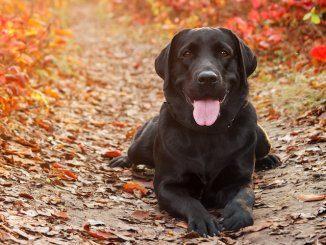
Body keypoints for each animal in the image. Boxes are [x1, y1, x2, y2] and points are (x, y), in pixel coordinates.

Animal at [108, 27, 278, 236]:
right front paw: (203, 219)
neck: (206, 132)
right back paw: (121, 159)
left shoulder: (239, 180)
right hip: (140, 146)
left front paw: (238, 215)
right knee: (132, 152)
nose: (207, 78)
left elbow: (245, 196)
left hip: (261, 138)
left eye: (224, 52)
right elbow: (190, 202)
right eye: (187, 54)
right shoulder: (167, 185)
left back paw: (268, 159)